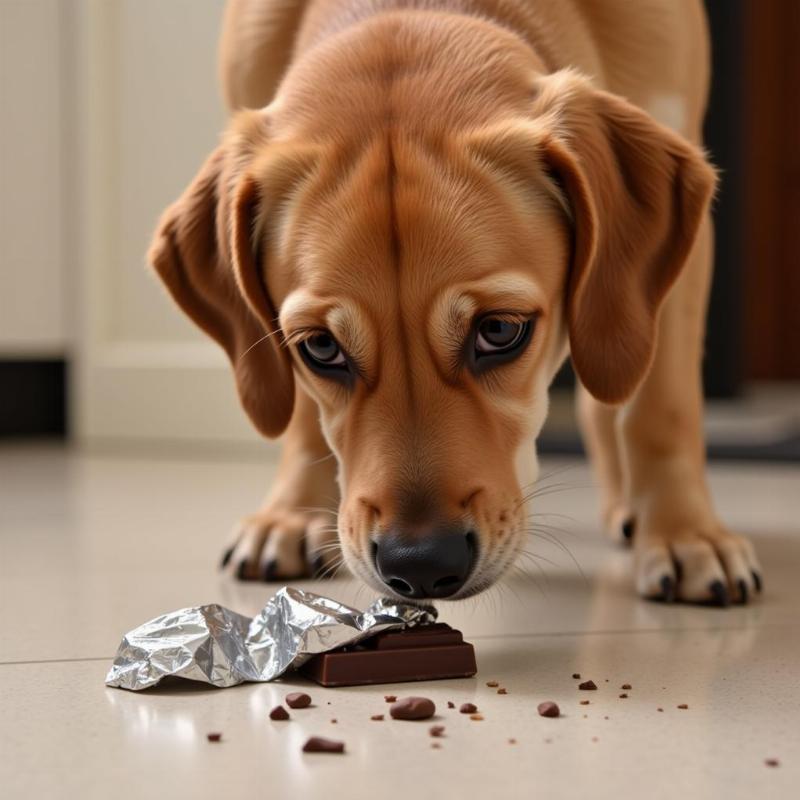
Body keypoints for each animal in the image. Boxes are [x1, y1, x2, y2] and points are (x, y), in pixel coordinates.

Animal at [150, 0, 764, 604]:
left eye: (499, 330)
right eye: (320, 347)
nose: (420, 564)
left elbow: (661, 406)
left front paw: (685, 534)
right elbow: (301, 412)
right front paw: (293, 514)